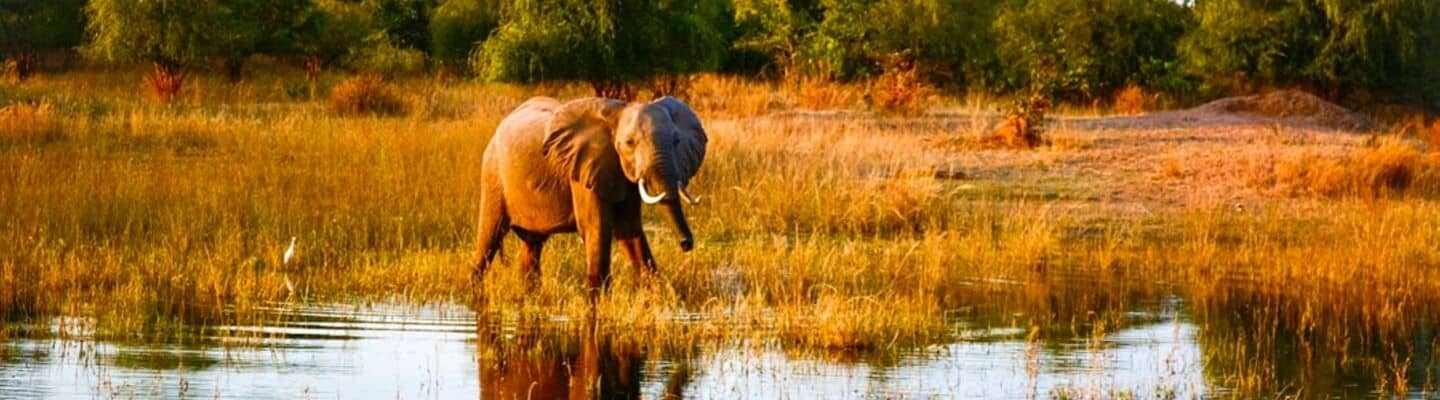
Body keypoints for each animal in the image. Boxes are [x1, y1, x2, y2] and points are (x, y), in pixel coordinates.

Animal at [475, 94, 705, 294]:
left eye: (676, 141)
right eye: (629, 143)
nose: (686, 244)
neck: (616, 114)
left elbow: (629, 231)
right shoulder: (583, 169)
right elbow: (596, 228)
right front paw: (599, 302)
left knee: (532, 246)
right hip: (492, 174)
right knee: (488, 241)